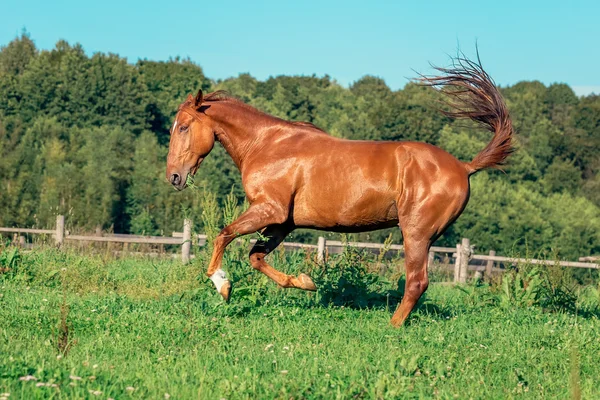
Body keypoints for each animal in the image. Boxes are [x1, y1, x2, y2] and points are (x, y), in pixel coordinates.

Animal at [166, 56, 512, 326]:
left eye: (183, 127)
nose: (174, 177)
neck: (266, 144)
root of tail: (464, 167)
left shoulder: (268, 209)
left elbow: (223, 235)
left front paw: (222, 285)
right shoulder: (282, 222)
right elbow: (256, 257)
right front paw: (305, 282)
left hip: (416, 232)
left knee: (417, 282)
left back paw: (392, 326)